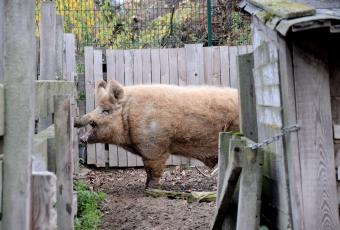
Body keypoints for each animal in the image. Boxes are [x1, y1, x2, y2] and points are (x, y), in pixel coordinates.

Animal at [74, 80, 239, 188]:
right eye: (96, 107)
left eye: (106, 110)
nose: (76, 121)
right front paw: (146, 186)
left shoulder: (154, 148)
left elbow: (152, 170)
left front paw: (150, 189)